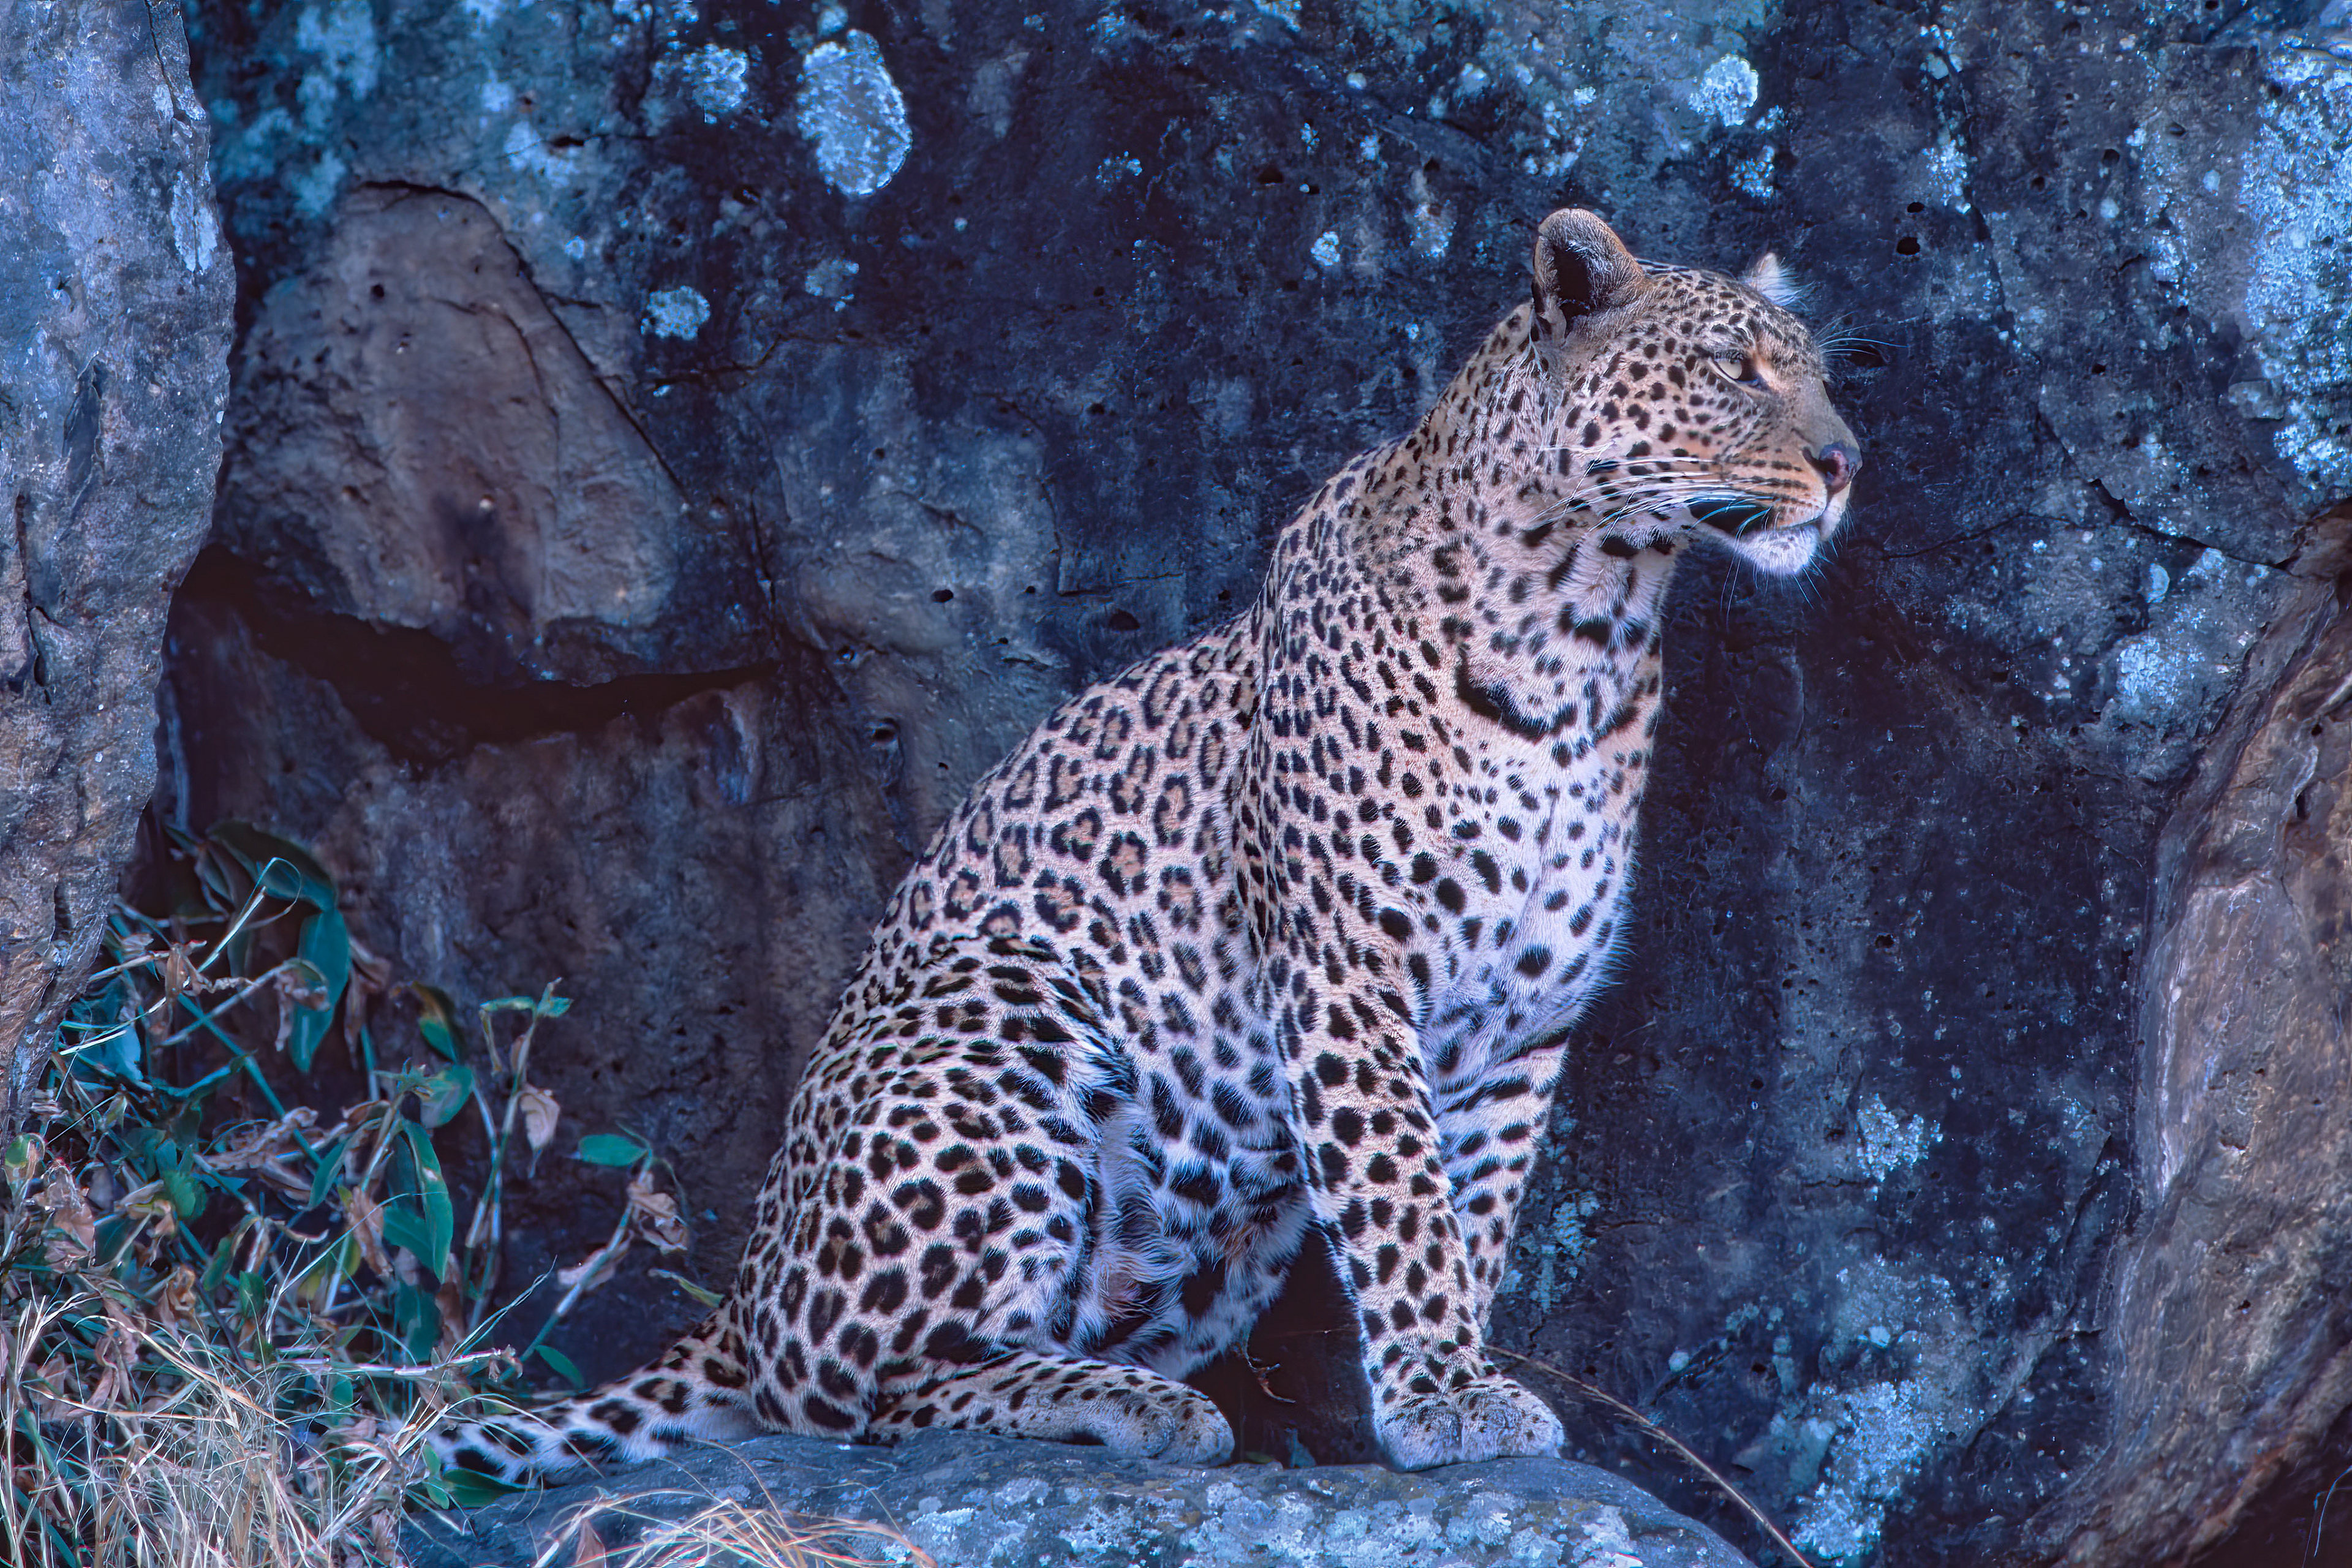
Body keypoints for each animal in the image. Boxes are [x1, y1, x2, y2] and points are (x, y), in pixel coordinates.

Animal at [432, 208, 1859, 1482]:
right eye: (1734, 370)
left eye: (1820, 371)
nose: (1848, 461)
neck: (1592, 624)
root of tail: (737, 1299)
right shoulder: (1349, 978)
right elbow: (1404, 1206)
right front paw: (1446, 1397)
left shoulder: (1523, 1025)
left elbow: (1474, 1216)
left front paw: (1448, 1379)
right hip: (1007, 1012)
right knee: (856, 1401)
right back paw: (1123, 1406)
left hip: (1221, 1232)